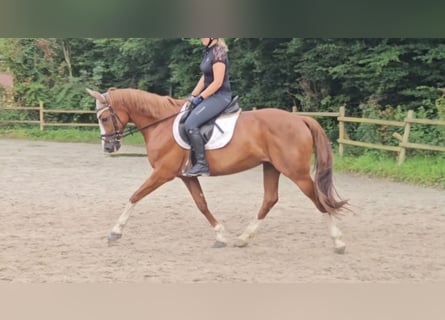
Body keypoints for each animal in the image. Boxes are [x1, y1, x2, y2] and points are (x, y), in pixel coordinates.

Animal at [86, 87, 348, 252]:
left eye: (104, 118)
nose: (108, 147)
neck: (161, 124)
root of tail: (300, 119)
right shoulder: (185, 176)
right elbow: (202, 204)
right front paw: (221, 235)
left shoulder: (163, 173)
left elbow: (135, 196)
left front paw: (115, 232)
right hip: (271, 167)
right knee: (270, 199)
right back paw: (243, 238)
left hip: (297, 173)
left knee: (319, 200)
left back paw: (338, 242)